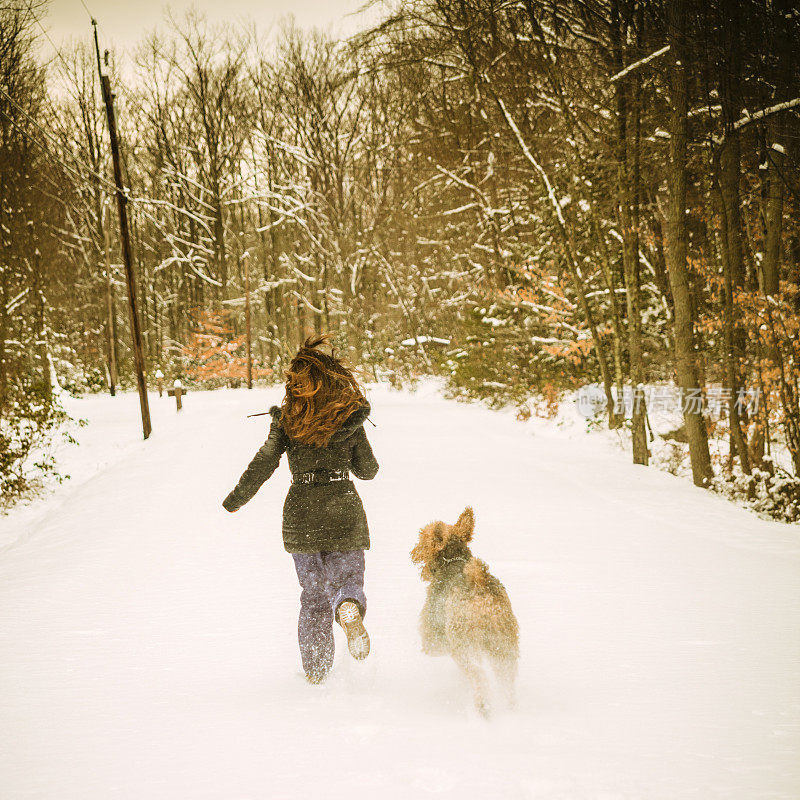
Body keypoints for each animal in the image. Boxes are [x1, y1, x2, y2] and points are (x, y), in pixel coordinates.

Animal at [412, 506, 520, 712]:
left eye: (422, 536)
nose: (413, 552)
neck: (453, 560)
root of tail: (480, 586)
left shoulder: (433, 634)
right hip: (504, 647)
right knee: (506, 682)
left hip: (464, 645)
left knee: (479, 677)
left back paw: (483, 707)